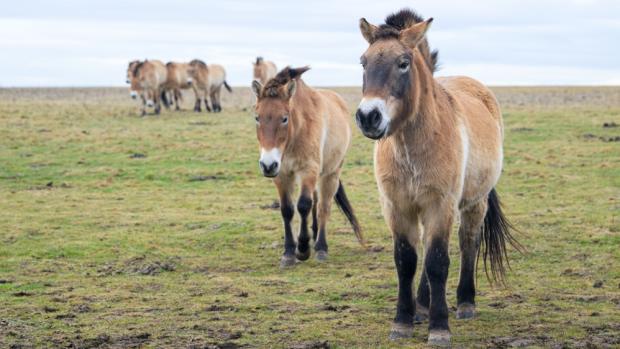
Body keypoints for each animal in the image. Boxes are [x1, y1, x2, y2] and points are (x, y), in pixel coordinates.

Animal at [252, 65, 366, 266]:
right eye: (257, 117)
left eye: (284, 118)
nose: (267, 165)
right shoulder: (282, 174)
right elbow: (287, 209)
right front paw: (289, 252)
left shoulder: (308, 170)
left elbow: (304, 205)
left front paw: (303, 249)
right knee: (315, 202)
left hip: (331, 174)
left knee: (323, 207)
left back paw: (320, 247)